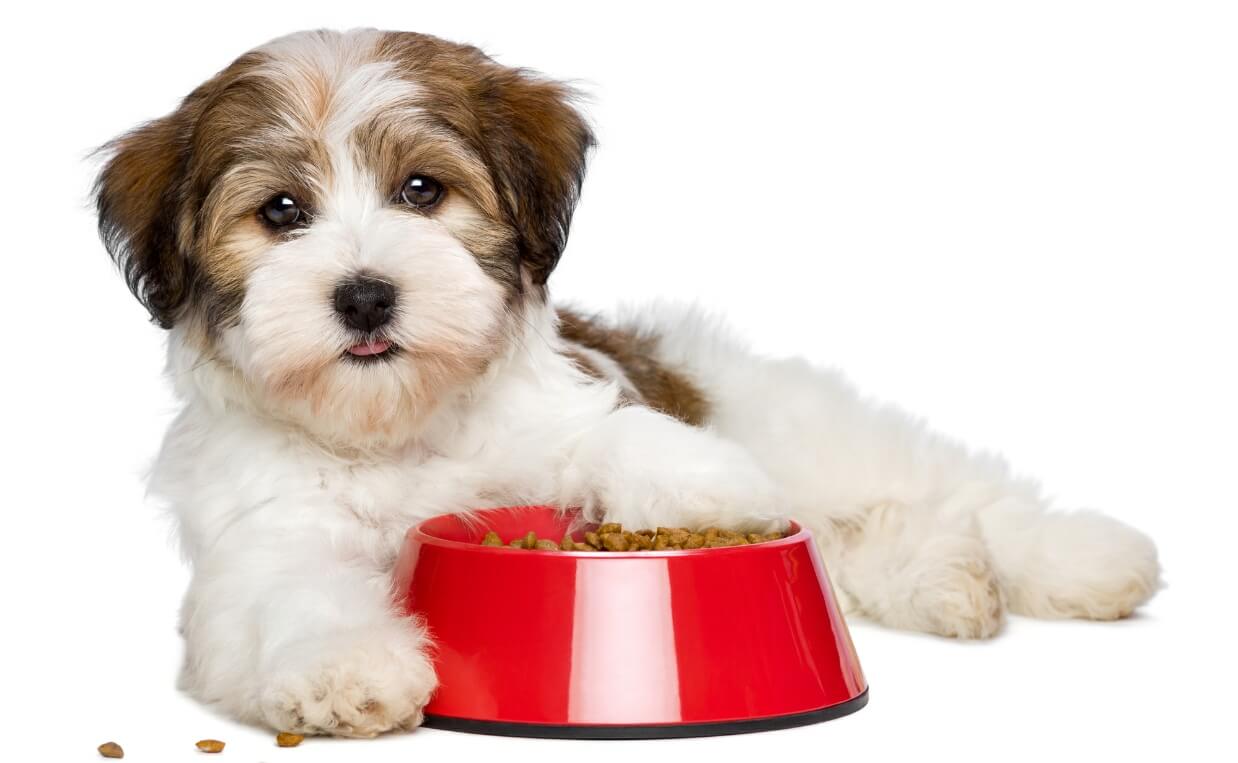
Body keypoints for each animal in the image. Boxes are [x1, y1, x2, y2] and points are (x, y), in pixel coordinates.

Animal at [94, 26, 1158, 738]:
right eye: (281, 211)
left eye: (422, 191)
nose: (364, 295)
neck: (400, 427)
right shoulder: (259, 542)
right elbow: (297, 593)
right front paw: (345, 668)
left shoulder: (570, 411)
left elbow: (608, 436)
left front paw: (706, 483)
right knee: (886, 538)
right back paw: (947, 580)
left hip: (815, 431)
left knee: (957, 493)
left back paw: (1086, 559)